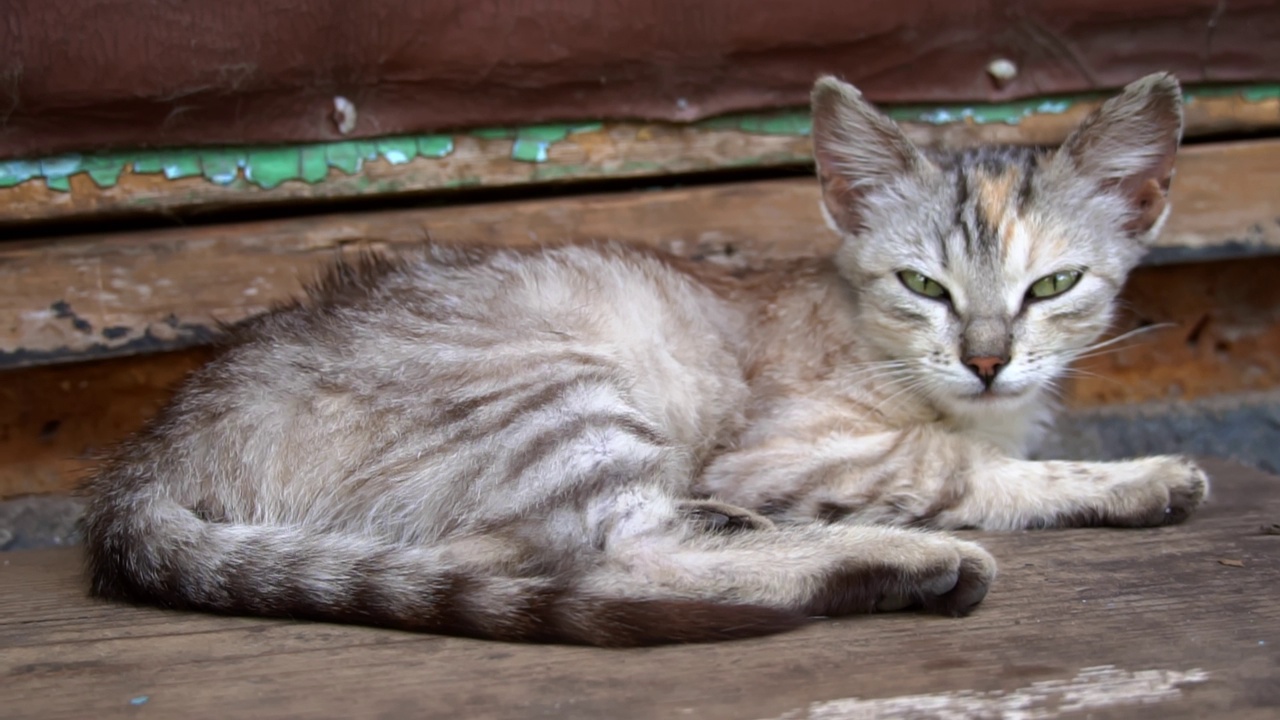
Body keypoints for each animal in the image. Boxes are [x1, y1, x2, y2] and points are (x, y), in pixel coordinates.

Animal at [82, 71, 1208, 645]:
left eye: (1052, 287)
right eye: (922, 286)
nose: (984, 360)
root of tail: (146, 459)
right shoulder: (788, 450)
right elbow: (968, 471)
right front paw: (1135, 475)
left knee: (501, 556)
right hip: (554, 393)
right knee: (625, 560)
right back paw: (890, 565)